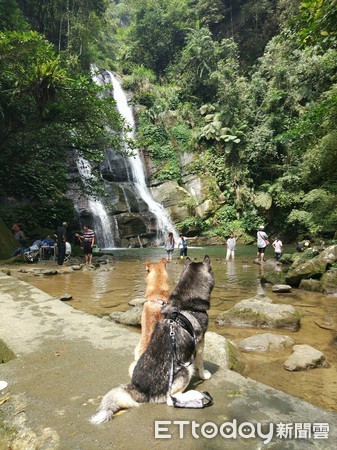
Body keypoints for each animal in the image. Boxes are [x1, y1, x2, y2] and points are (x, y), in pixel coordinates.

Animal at [90, 255, 214, 424]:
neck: (184, 304)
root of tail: (142, 390)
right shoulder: (200, 344)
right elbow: (200, 364)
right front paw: (204, 375)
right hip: (185, 369)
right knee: (170, 399)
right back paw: (193, 395)